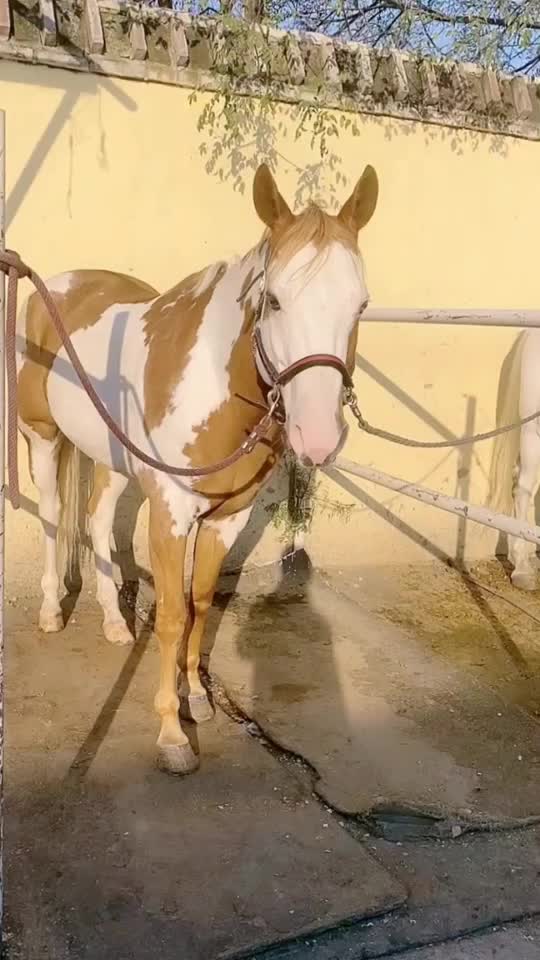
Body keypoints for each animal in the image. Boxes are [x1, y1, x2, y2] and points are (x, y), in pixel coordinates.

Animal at [16, 162, 379, 774]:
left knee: (96, 519)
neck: (216, 386)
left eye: (362, 306)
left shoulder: (227, 519)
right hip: (42, 437)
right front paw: (171, 734)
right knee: (51, 515)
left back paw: (113, 622)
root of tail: (61, 285)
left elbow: (200, 604)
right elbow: (169, 616)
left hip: (111, 458)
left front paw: (197, 698)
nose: (319, 437)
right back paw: (49, 611)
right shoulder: (169, 514)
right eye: (274, 301)